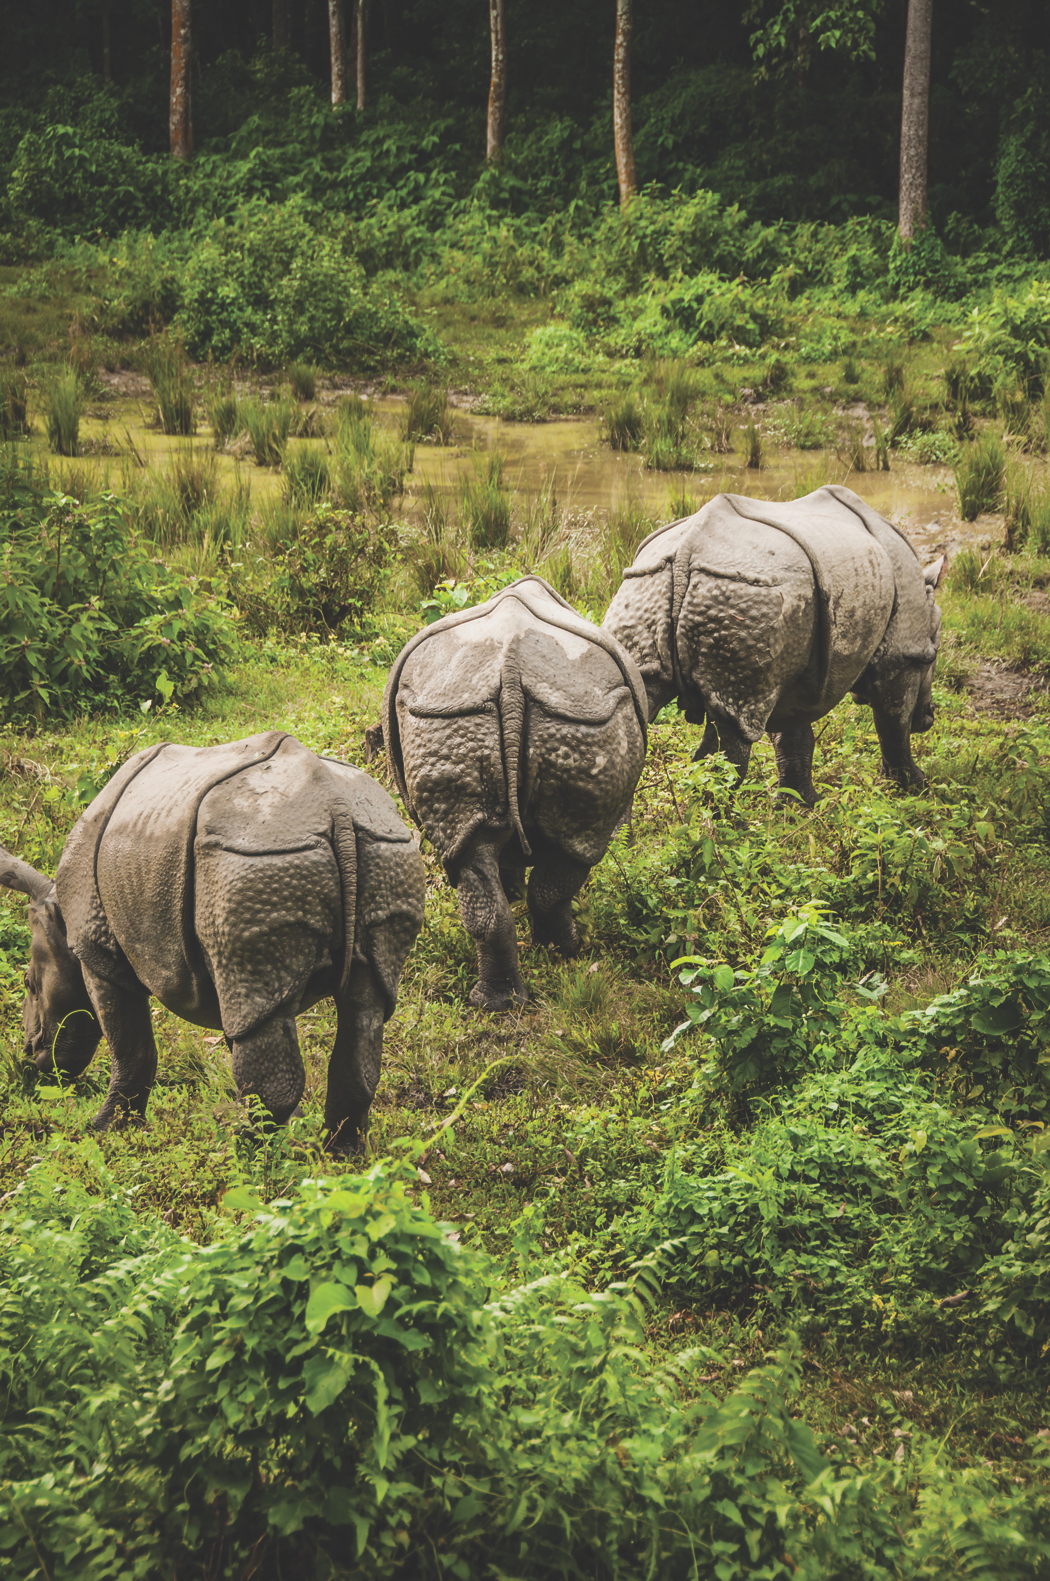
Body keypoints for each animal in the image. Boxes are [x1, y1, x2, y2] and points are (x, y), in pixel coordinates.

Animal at [5, 727, 423, 1150]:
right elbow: (235, 1034)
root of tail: (335, 806)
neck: (60, 915)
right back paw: (340, 1154)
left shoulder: (98, 951)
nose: (30, 1055)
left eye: (29, 984)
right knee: (366, 1005)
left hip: (256, 859)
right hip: (384, 847)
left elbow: (129, 1044)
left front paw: (107, 1132)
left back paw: (241, 1151)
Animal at [377, 575, 648, 1005]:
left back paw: (497, 1001)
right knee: (580, 850)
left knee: (471, 855)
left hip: (450, 716)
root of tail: (510, 671)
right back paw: (569, 953)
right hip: (583, 716)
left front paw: (512, 890)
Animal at [604, 483, 948, 803]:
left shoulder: (792, 658)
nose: (928, 718)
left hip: (648, 584)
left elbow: (793, 734)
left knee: (641, 695)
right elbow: (894, 721)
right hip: (744, 591)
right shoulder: (903, 654)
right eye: (932, 657)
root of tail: (685, 554)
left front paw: (800, 805)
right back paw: (729, 825)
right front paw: (914, 788)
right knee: (734, 729)